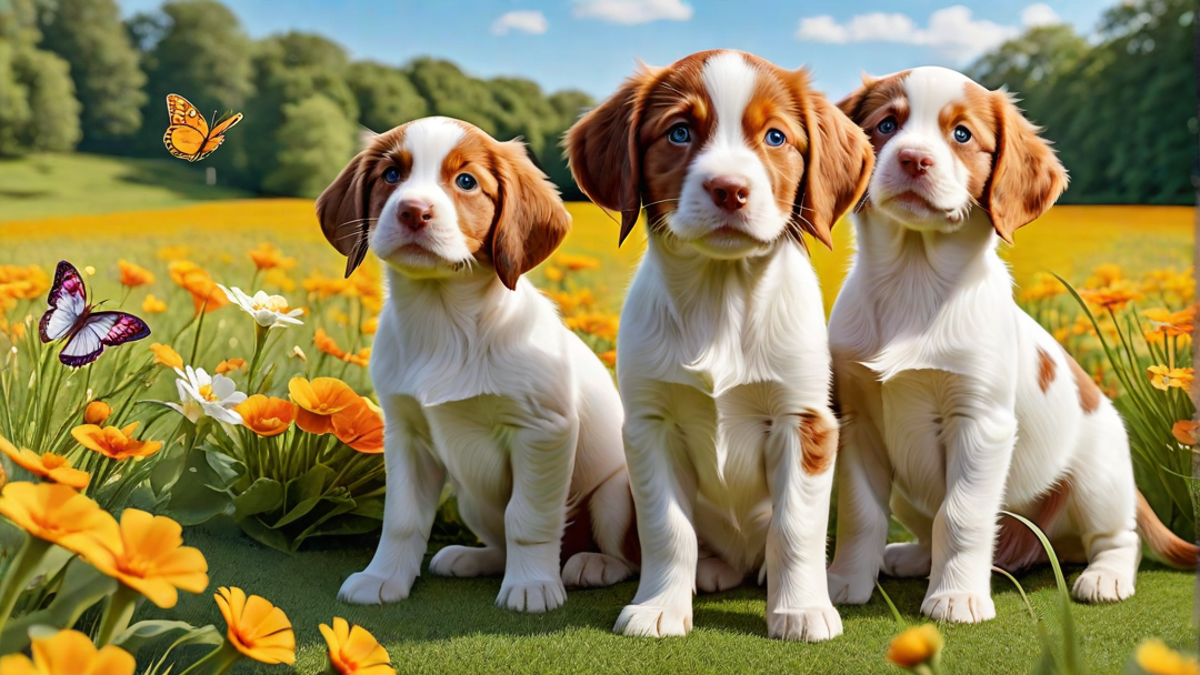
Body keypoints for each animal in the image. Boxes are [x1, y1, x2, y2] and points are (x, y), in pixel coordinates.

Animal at [316, 115, 638, 610]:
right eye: (391, 175)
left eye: (466, 181)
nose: (413, 211)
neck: (443, 318)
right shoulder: (406, 435)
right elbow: (402, 519)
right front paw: (383, 577)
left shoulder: (542, 431)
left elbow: (527, 518)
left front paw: (531, 586)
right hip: (471, 501)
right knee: (498, 538)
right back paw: (473, 558)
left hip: (616, 493)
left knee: (625, 555)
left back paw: (591, 564)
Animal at [566, 49, 878, 638]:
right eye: (679, 132)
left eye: (776, 137)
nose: (730, 189)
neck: (722, 298)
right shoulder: (650, 428)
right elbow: (666, 528)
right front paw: (659, 607)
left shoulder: (805, 423)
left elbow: (794, 528)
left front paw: (801, 610)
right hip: (617, 484)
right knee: (628, 538)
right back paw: (603, 564)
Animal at [830, 66, 1195, 619]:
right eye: (886, 124)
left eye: (962, 134)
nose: (913, 159)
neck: (914, 281)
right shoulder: (858, 420)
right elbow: (860, 513)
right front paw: (843, 583)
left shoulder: (980, 423)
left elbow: (960, 514)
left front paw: (956, 596)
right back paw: (913, 557)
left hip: (1096, 480)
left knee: (1120, 539)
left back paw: (1104, 577)